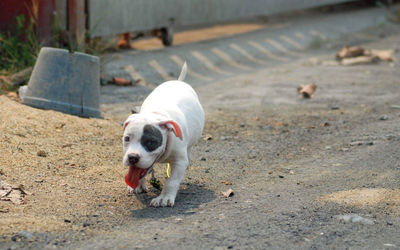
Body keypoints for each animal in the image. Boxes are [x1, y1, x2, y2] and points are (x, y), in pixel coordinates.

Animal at [121, 63, 203, 207]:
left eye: (150, 143)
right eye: (127, 139)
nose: (132, 157)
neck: (156, 115)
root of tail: (178, 82)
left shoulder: (179, 162)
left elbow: (172, 181)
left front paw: (164, 198)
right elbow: (140, 171)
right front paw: (138, 185)